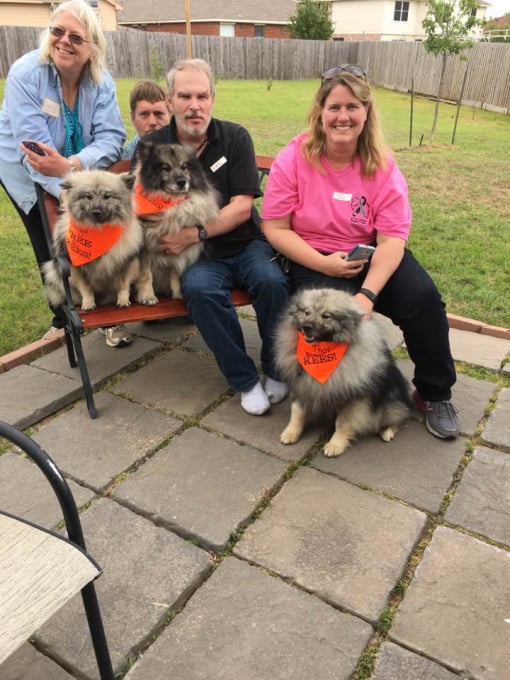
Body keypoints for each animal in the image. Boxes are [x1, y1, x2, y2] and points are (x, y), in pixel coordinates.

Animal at [43, 169, 144, 311]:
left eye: (107, 196)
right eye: (88, 196)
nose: (96, 211)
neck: (98, 232)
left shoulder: (125, 265)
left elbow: (123, 285)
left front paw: (123, 300)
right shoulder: (78, 270)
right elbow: (86, 288)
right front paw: (88, 303)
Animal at [132, 140, 220, 301]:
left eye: (184, 167)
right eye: (165, 168)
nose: (182, 182)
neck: (171, 202)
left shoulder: (177, 249)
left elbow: (175, 274)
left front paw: (178, 293)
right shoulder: (145, 249)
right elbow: (146, 275)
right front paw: (147, 296)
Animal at [274, 288, 413, 457]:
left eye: (326, 316)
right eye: (306, 312)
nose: (306, 326)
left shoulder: (352, 399)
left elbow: (342, 423)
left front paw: (335, 444)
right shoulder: (302, 385)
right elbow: (297, 412)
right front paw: (291, 432)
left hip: (388, 402)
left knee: (399, 415)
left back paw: (387, 431)